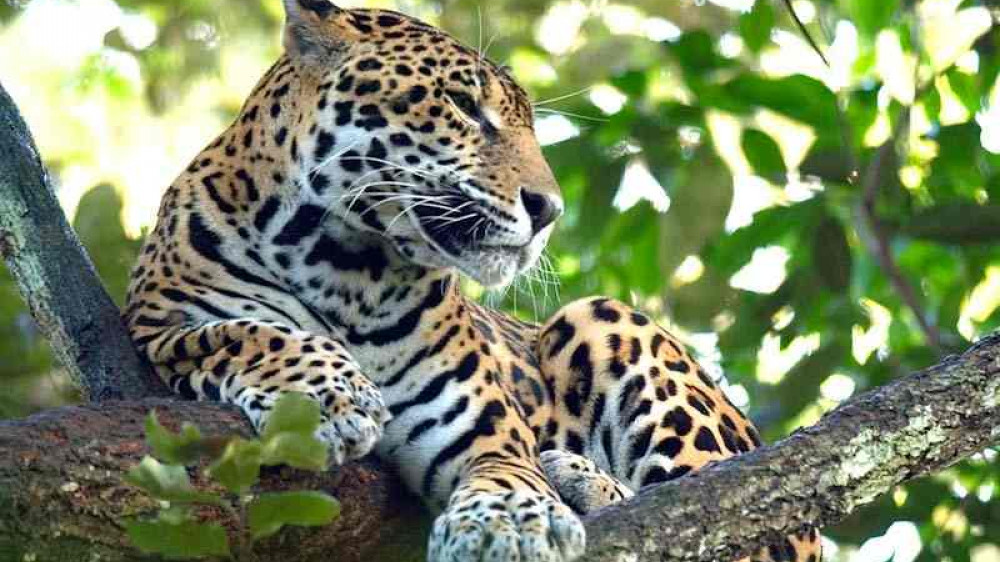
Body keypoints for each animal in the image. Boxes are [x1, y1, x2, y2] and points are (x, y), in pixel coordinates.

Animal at [123, 1, 823, 560]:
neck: (344, 265)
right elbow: (251, 333)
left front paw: (511, 522)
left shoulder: (485, 429)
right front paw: (330, 395)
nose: (549, 209)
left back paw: (578, 477)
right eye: (462, 105)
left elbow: (509, 469)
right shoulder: (159, 323)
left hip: (603, 320)